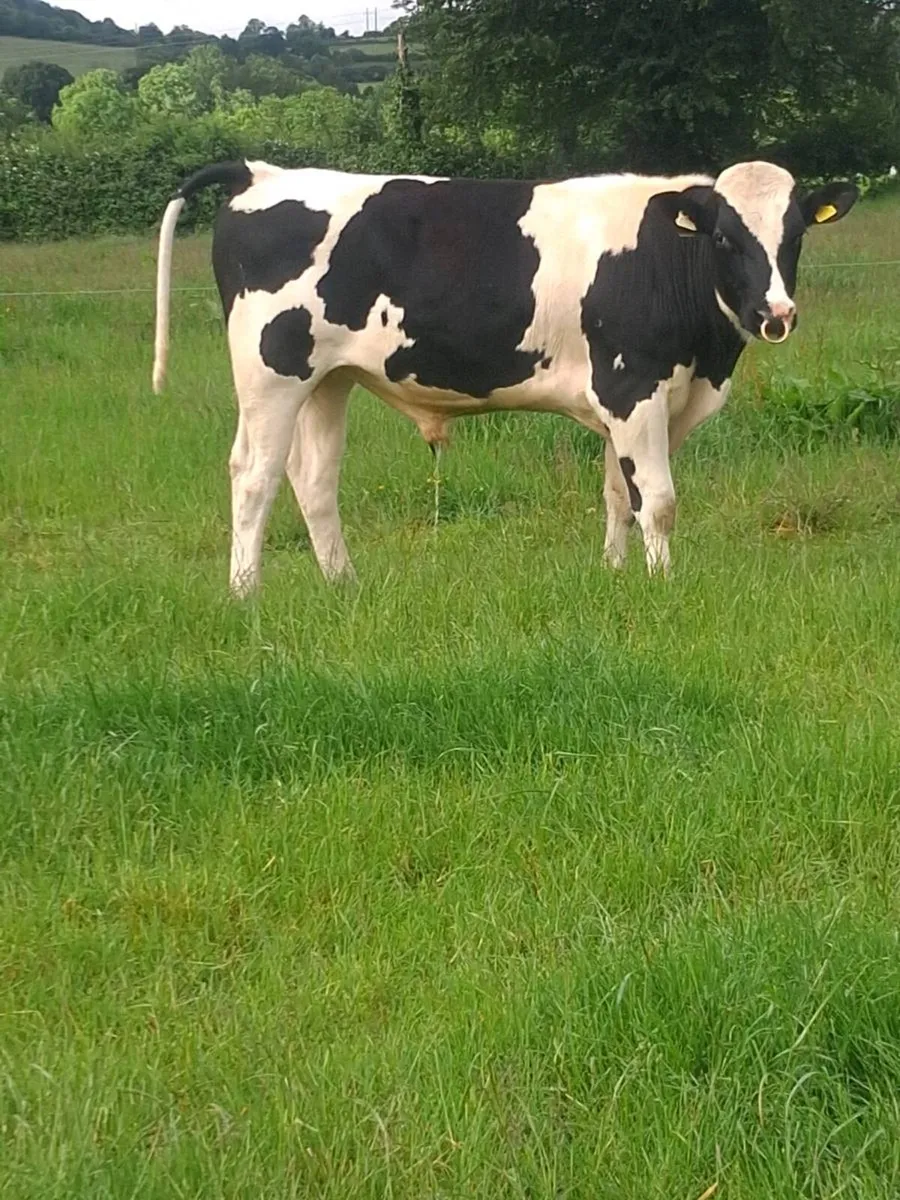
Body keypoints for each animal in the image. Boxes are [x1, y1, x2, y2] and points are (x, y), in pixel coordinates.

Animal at [152, 159, 857, 594]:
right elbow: (656, 500)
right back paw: (246, 594)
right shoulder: (634, 388)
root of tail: (260, 173)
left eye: (795, 235)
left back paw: (344, 586)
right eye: (725, 240)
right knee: (254, 476)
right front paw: (663, 586)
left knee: (313, 479)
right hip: (271, 375)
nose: (776, 314)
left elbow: (617, 494)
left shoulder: (638, 401)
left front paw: (615, 576)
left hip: (329, 379)